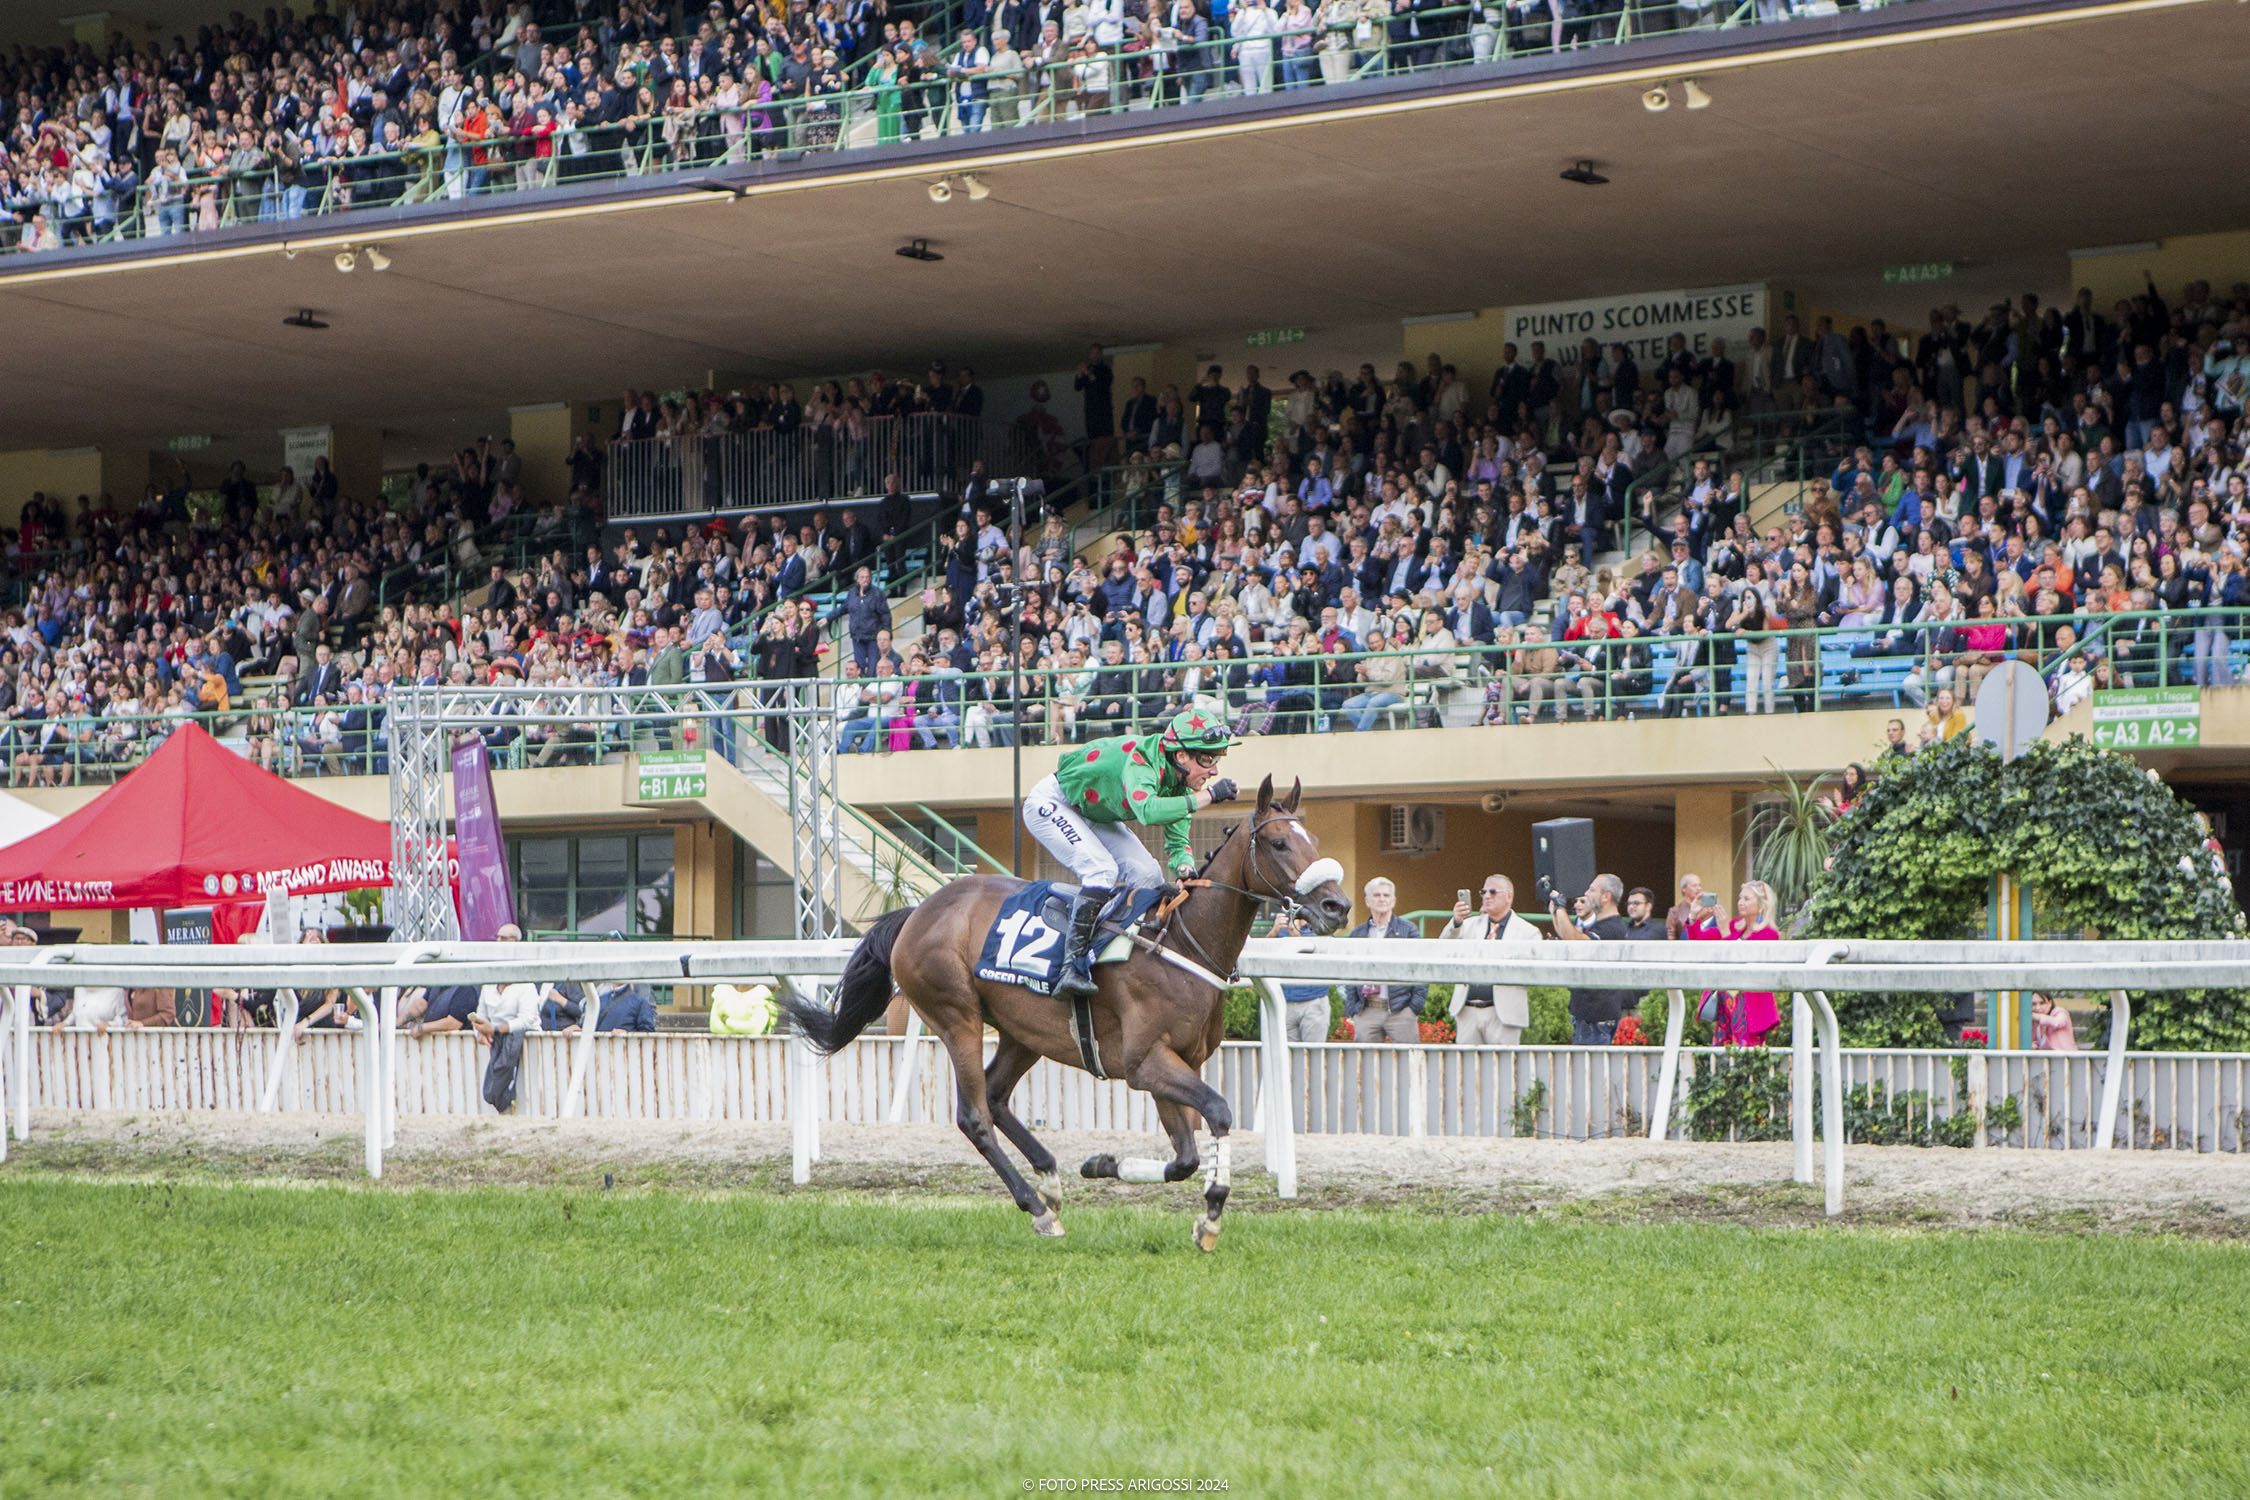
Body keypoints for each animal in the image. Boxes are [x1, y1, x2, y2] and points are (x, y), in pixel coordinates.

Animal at [774, 782, 1341, 1250]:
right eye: (1279, 844)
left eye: (1312, 837)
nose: (1336, 906)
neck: (1178, 942)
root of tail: (918, 910)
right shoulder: (1144, 1064)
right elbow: (1219, 1114)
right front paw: (1213, 1213)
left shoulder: (1178, 1062)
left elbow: (1185, 1157)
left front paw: (1103, 1165)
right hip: (956, 1014)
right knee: (974, 1115)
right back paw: (1037, 1208)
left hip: (1023, 1032)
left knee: (996, 1096)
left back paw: (1049, 1178)